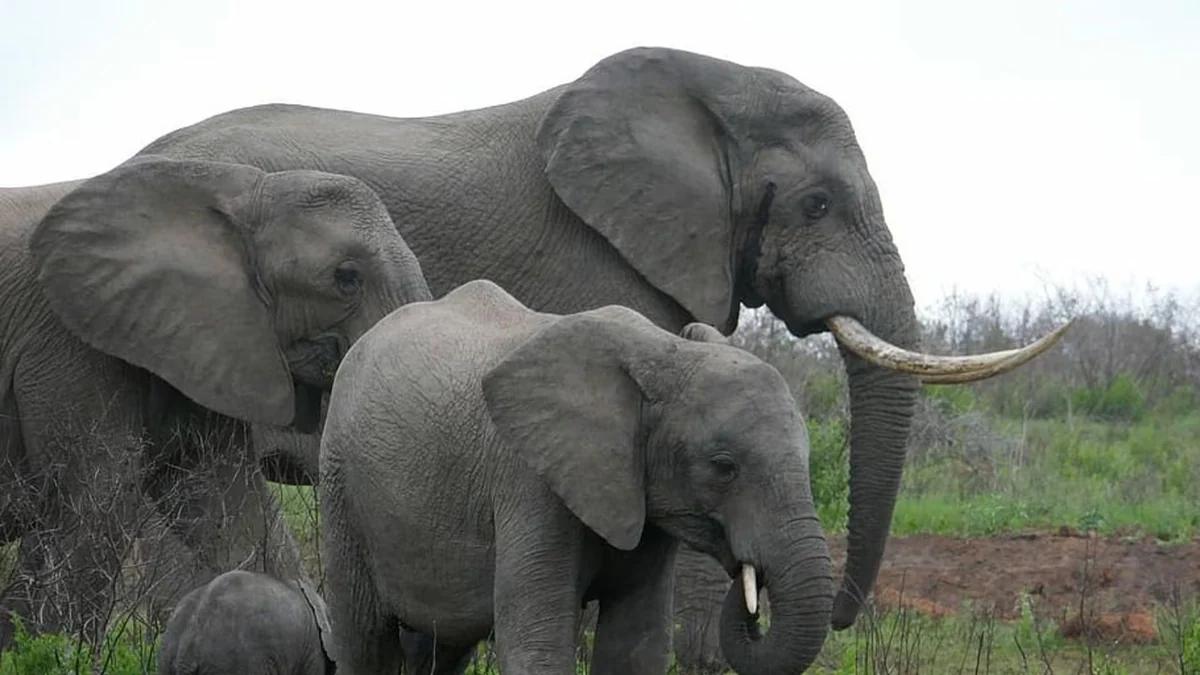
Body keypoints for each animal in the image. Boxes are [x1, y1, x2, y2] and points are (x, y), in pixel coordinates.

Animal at [319, 279, 837, 675]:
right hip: (341, 485)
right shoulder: (531, 481)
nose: (750, 587)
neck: (664, 349)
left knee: (440, 647)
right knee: (365, 639)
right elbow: (538, 642)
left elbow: (635, 646)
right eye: (723, 466)